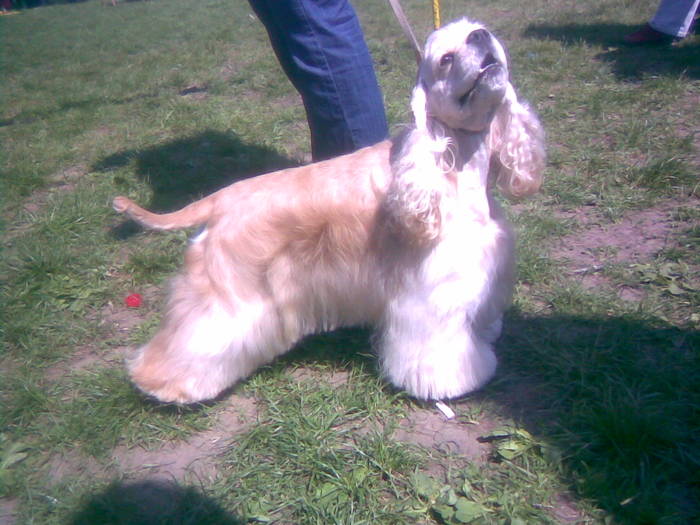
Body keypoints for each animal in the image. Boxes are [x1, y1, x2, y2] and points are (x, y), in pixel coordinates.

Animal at [112, 16, 544, 402]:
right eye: (446, 59)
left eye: (478, 30)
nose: (480, 36)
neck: (454, 160)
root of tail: (220, 198)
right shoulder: (434, 290)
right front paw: (452, 383)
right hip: (230, 295)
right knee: (193, 338)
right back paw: (164, 385)